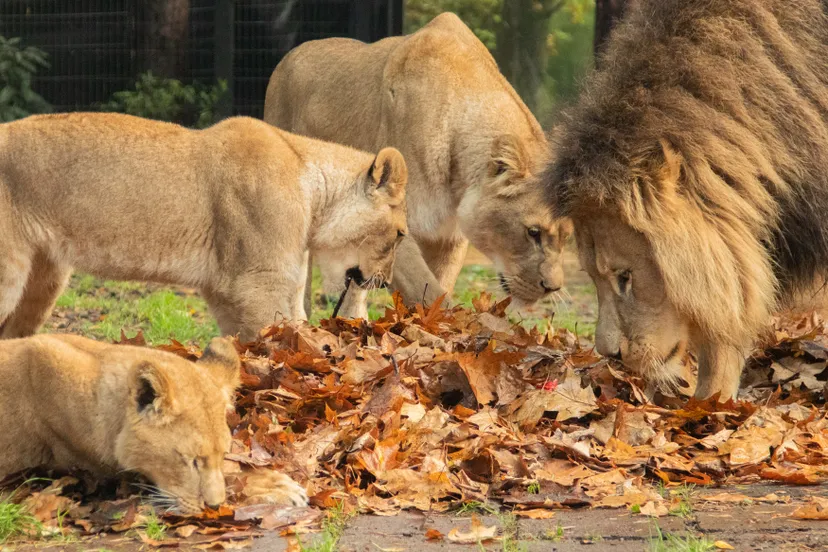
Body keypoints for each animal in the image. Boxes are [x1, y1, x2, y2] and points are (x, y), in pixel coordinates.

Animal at [0, 112, 408, 340]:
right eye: (401, 234)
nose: (385, 281)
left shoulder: (225, 290)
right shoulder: (260, 283)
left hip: (44, 280)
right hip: (8, 272)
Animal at [266, 11, 568, 320]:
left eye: (566, 236)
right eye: (533, 232)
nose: (552, 288)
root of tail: (288, 55)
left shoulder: (448, 237)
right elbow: (432, 295)